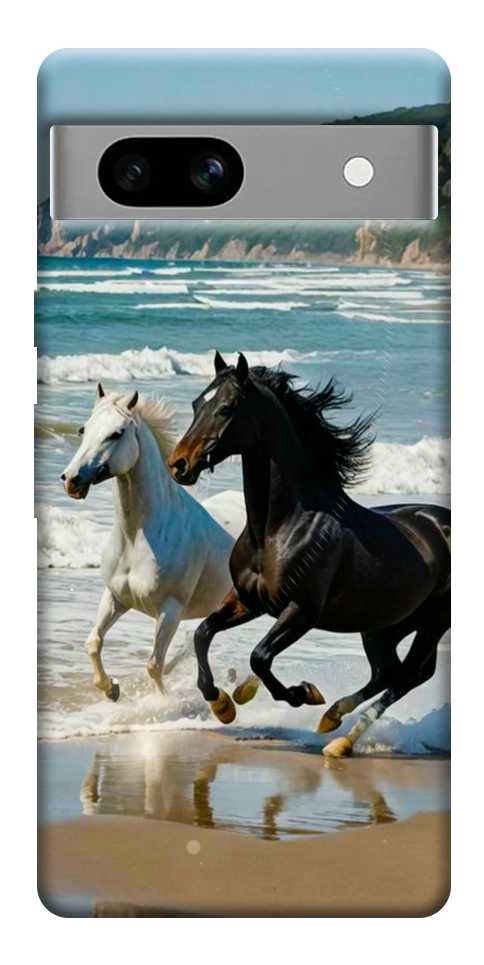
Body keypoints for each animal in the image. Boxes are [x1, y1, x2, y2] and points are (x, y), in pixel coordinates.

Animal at [61, 383, 234, 701]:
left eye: (116, 433)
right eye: (83, 429)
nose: (71, 480)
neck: (137, 538)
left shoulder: (170, 611)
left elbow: (154, 665)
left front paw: (161, 703)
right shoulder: (116, 597)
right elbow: (93, 642)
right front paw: (111, 689)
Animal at [167, 352, 451, 757]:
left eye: (226, 408)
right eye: (195, 404)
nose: (179, 464)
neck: (279, 528)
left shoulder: (302, 611)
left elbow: (260, 656)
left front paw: (302, 693)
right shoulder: (248, 601)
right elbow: (203, 634)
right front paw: (222, 704)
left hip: (432, 622)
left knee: (408, 675)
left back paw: (339, 737)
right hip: (384, 625)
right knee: (389, 672)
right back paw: (333, 721)